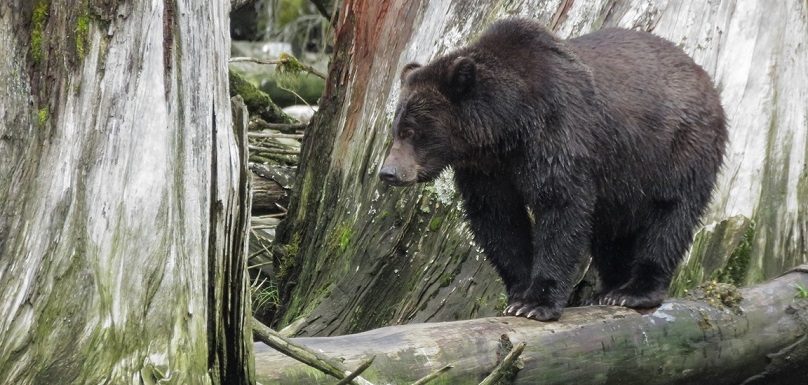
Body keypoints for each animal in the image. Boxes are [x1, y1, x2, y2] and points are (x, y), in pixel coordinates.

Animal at [378, 16, 724, 320]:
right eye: (395, 129)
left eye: (411, 130)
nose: (388, 172)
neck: (506, 131)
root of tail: (704, 76)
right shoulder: (486, 170)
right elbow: (498, 219)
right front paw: (519, 293)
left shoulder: (557, 135)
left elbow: (561, 206)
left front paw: (537, 302)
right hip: (623, 181)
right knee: (611, 232)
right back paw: (609, 289)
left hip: (678, 148)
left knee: (670, 215)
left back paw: (634, 291)